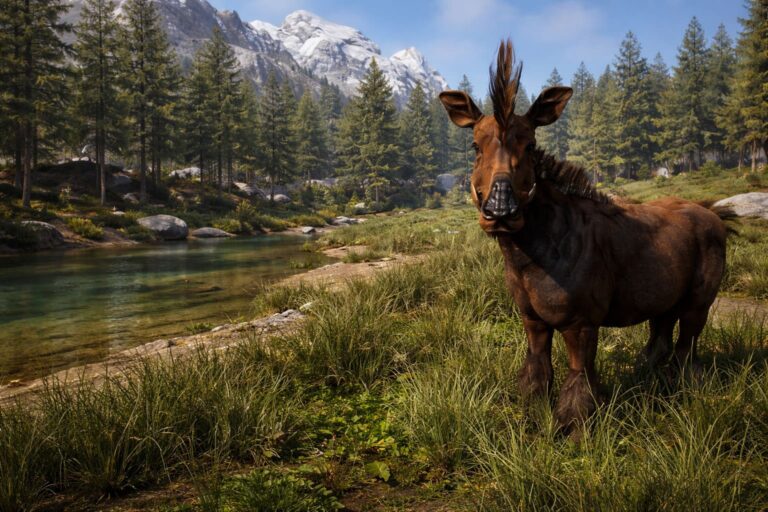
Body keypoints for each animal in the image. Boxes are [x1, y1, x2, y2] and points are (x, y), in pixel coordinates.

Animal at [439, 40, 729, 428]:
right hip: (665, 299)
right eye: (474, 146)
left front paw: (573, 430)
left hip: (699, 301)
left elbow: (579, 386)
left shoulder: (582, 322)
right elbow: (536, 374)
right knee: (660, 339)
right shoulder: (532, 319)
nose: (500, 211)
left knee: (688, 349)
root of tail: (717, 217)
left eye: (529, 145)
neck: (526, 256)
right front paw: (532, 416)